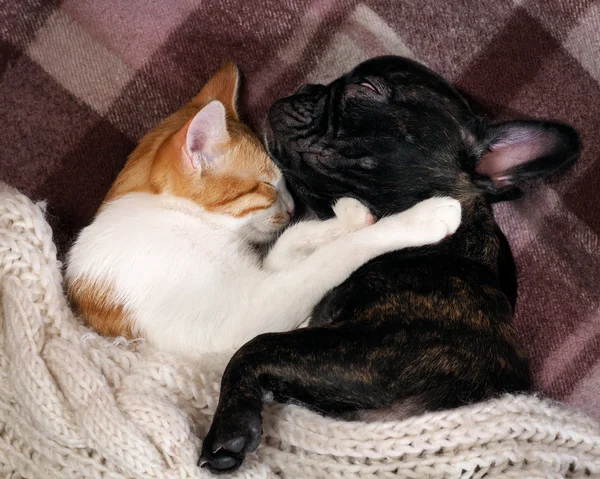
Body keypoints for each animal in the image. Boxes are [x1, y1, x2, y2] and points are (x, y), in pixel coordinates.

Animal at [65, 62, 462, 356]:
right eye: (269, 186)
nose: (292, 206)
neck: (173, 216)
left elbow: (292, 244)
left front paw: (346, 218)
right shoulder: (246, 315)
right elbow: (331, 260)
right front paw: (418, 219)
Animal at [202, 55, 580, 472]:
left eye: (366, 88)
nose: (305, 88)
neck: (444, 249)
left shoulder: (371, 355)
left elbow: (257, 345)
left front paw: (229, 425)